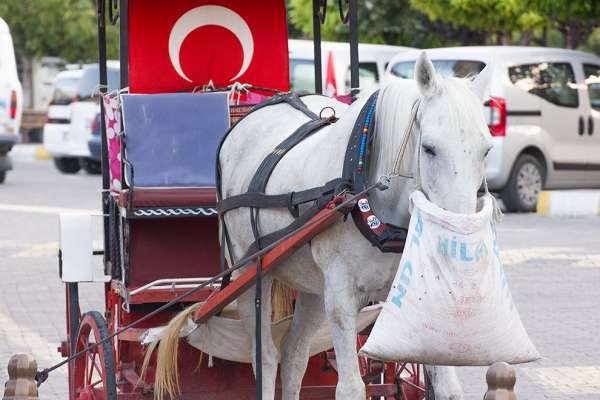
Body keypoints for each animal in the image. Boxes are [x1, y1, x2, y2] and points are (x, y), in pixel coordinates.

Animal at [154, 51, 492, 398]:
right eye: (429, 148)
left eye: (486, 150)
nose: (461, 234)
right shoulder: (341, 294)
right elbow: (350, 388)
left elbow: (448, 387)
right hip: (248, 272)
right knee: (264, 356)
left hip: (314, 287)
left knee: (293, 352)